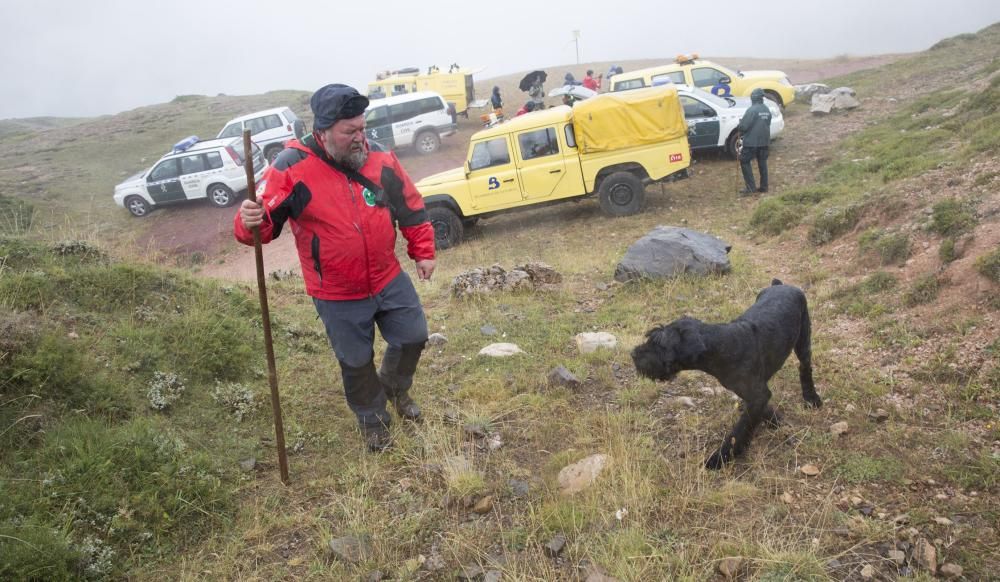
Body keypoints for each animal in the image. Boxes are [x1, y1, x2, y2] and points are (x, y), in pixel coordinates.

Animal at [632, 280, 820, 470]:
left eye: (660, 344)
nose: (634, 355)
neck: (721, 346)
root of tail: (781, 284)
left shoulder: (757, 394)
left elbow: (740, 429)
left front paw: (720, 458)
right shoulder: (755, 395)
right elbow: (759, 411)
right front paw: (774, 419)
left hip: (803, 341)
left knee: (805, 369)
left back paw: (812, 398)